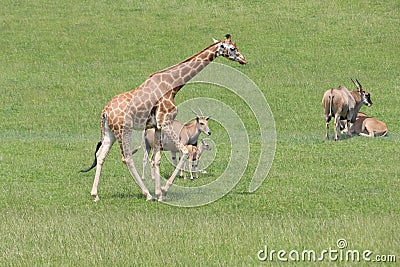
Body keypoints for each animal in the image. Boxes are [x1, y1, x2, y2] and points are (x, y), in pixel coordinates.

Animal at [80, 33, 245, 202]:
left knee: (101, 155)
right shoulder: (165, 122)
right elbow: (184, 152)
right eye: (232, 48)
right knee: (127, 158)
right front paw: (164, 191)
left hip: (110, 132)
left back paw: (95, 195)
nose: (243, 59)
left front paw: (159, 193)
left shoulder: (157, 126)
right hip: (123, 130)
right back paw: (147, 194)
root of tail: (105, 111)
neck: (173, 86)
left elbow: (157, 159)